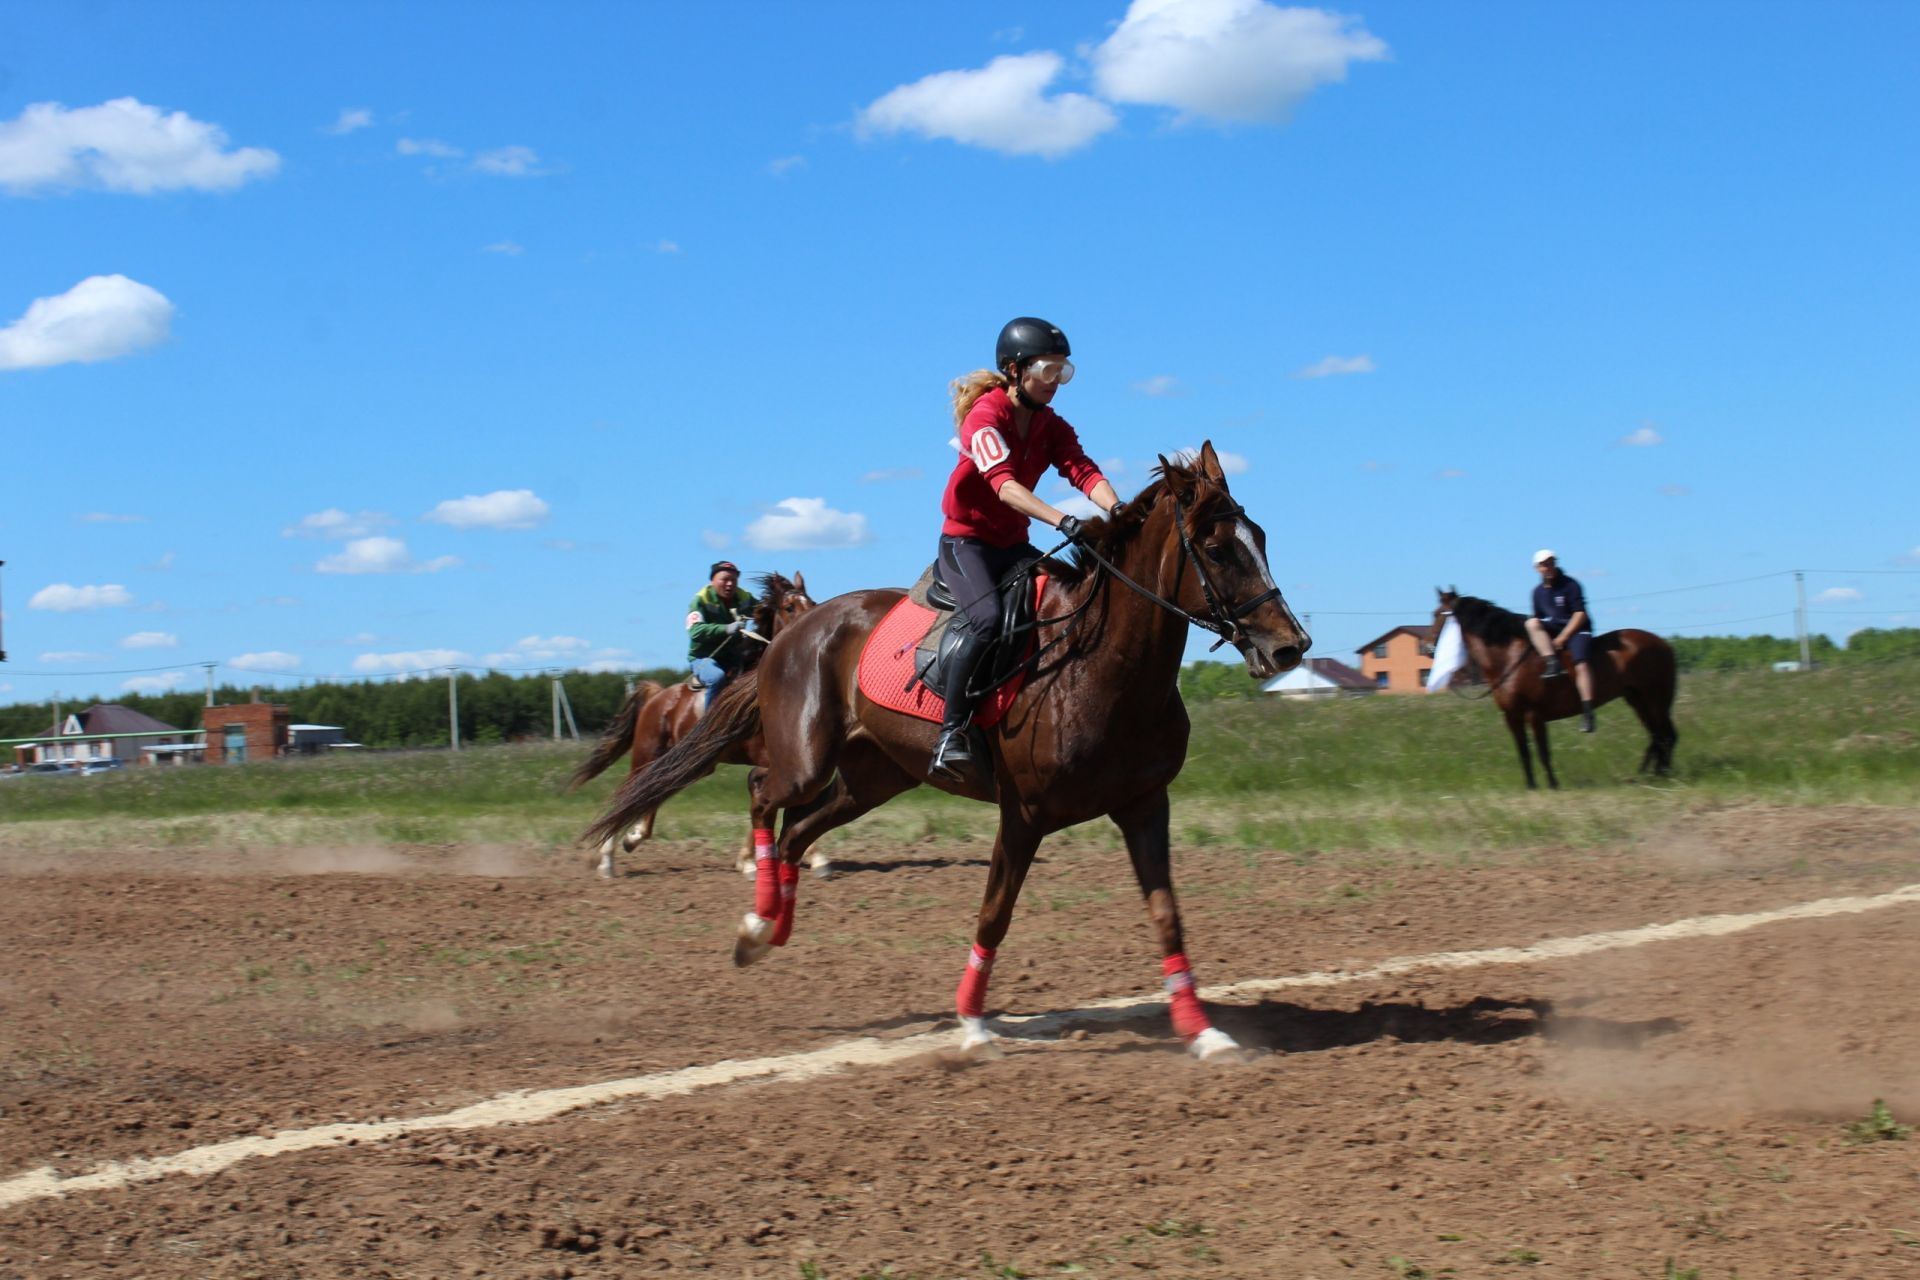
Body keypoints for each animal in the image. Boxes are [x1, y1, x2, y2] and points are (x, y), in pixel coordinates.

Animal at [564, 571, 814, 882]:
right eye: (789, 607)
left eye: (812, 602)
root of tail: (657, 696)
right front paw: (753, 861)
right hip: (647, 755)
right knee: (629, 793)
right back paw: (608, 858)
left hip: (684, 763)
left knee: (652, 793)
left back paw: (632, 838)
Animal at [1436, 591, 1674, 790]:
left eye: (1438, 614)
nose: (1430, 647)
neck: (1510, 660)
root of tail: (1663, 644)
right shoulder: (1512, 716)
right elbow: (1523, 752)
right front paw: (1531, 786)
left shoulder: (1534, 715)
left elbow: (1542, 752)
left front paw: (1552, 784)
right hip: (1639, 700)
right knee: (1658, 736)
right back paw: (1655, 774)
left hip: (1656, 699)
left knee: (1666, 736)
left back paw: (1662, 775)